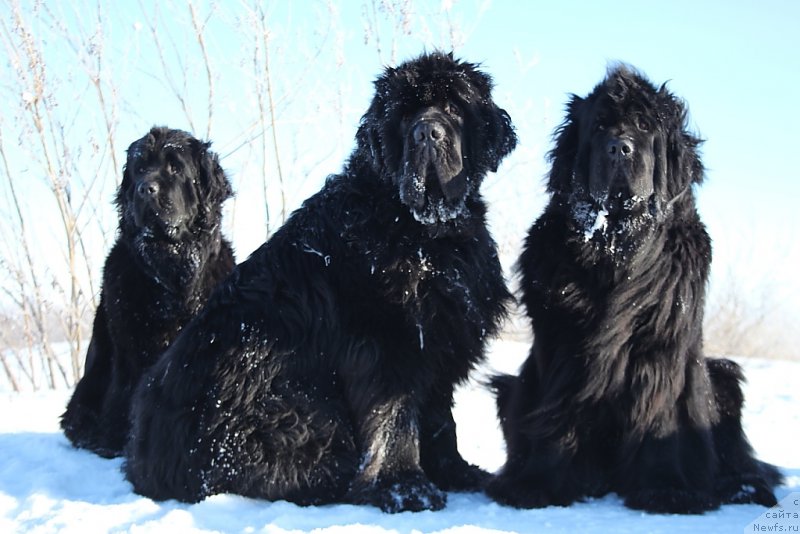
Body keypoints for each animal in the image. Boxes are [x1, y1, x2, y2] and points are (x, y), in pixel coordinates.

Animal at [122, 51, 516, 516]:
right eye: (405, 117)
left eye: (454, 108)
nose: (427, 132)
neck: (421, 230)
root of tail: (141, 454)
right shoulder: (386, 341)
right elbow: (397, 416)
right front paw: (405, 487)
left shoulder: (437, 333)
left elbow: (439, 419)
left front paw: (456, 473)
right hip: (294, 401)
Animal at [484, 66, 780, 516]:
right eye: (599, 126)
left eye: (644, 126)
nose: (619, 148)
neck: (615, 246)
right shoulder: (563, 348)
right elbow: (557, 415)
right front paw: (536, 485)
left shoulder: (660, 349)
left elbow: (659, 416)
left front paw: (666, 490)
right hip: (510, 387)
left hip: (722, 376)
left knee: (740, 460)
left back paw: (744, 488)